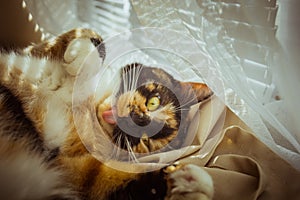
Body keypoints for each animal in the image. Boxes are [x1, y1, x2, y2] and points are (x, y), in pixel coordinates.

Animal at [0, 28, 213, 200]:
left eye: (145, 141)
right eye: (154, 101)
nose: (136, 119)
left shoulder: (66, 165)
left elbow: (104, 181)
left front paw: (186, 184)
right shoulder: (29, 53)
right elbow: (61, 39)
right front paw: (83, 49)